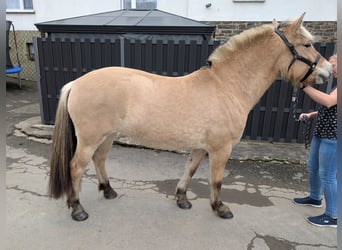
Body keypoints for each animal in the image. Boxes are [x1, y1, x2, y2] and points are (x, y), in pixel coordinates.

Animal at [48, 13, 332, 221]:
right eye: (307, 44)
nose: (329, 71)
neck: (226, 86)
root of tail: (76, 83)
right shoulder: (221, 149)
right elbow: (216, 180)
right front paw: (220, 208)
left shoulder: (200, 147)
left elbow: (191, 170)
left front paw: (182, 199)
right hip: (89, 139)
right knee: (76, 167)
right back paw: (77, 208)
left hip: (108, 136)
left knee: (99, 160)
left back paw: (108, 191)